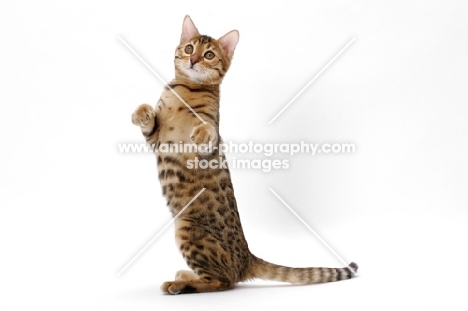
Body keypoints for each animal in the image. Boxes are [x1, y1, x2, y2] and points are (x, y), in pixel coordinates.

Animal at [130, 15, 356, 294]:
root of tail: (247, 257)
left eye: (209, 54)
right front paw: (141, 112)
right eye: (189, 48)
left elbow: (208, 131)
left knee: (223, 281)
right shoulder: (156, 140)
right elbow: (148, 119)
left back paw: (180, 284)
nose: (193, 60)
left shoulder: (206, 135)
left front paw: (202, 133)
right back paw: (184, 276)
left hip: (187, 228)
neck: (187, 89)